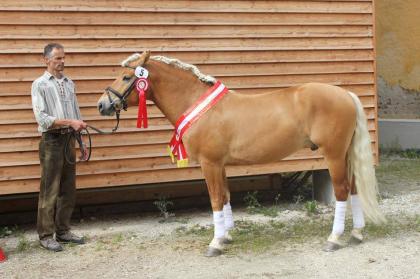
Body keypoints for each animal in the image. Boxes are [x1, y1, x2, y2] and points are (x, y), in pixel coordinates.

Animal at [97, 50, 384, 258]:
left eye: (126, 77)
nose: (102, 105)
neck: (199, 106)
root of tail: (345, 94)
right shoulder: (220, 165)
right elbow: (225, 196)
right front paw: (226, 236)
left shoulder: (210, 164)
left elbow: (215, 199)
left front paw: (215, 243)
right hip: (344, 155)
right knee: (354, 188)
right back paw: (357, 234)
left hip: (334, 155)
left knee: (342, 191)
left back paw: (334, 238)